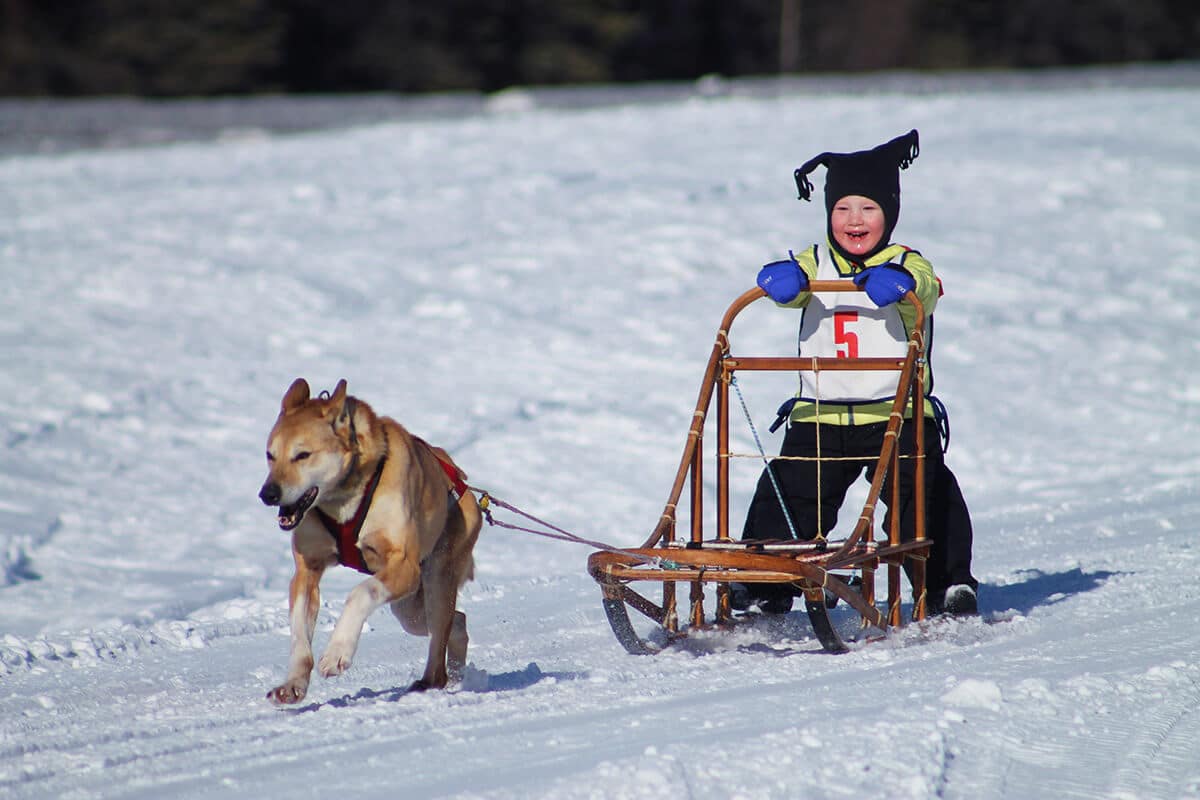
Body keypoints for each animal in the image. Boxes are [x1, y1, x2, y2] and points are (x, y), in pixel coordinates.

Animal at [259, 379, 482, 705]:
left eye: (302, 455)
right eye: (270, 455)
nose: (268, 493)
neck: (342, 501)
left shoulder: (404, 567)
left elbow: (360, 592)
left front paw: (337, 652)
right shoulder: (307, 572)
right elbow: (299, 634)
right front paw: (293, 683)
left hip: (435, 579)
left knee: (442, 633)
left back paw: (432, 680)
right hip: (410, 610)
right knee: (458, 622)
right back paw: (455, 672)